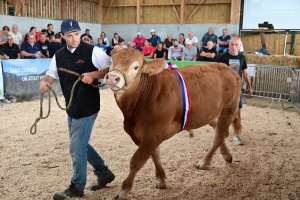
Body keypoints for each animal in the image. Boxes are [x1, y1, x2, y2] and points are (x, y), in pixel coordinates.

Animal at [104, 47, 243, 199]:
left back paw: (204, 162)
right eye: (111, 61)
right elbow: (155, 156)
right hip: (207, 113)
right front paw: (161, 180)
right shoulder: (147, 134)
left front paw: (123, 191)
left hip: (229, 108)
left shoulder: (154, 133)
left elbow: (137, 161)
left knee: (219, 135)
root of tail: (228, 68)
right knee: (220, 129)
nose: (112, 77)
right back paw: (227, 155)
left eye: (135, 66)